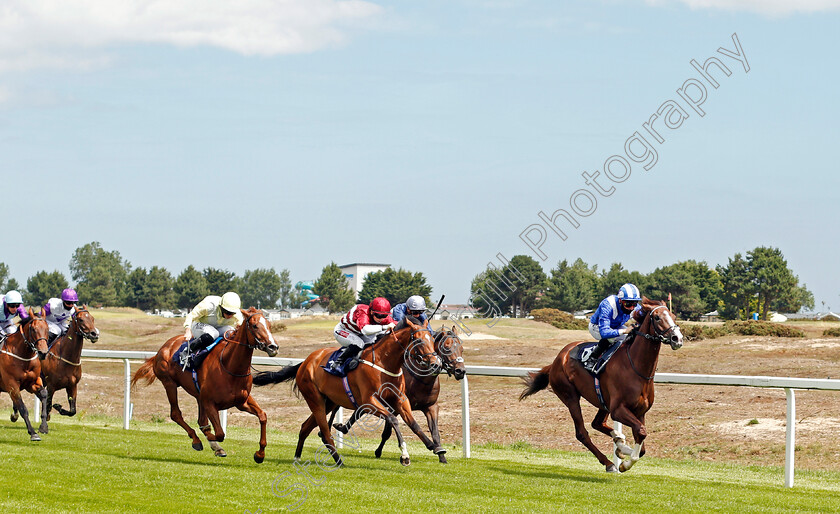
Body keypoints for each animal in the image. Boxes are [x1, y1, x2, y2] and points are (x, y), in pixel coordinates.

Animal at [0, 310, 50, 438]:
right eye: (33, 329)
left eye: (47, 328)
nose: (43, 353)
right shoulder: (12, 385)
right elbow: (23, 408)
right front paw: (33, 433)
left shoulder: (32, 383)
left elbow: (44, 394)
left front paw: (43, 427)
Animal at [131, 306, 280, 462]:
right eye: (255, 325)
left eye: (269, 325)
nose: (273, 347)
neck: (230, 366)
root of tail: (163, 348)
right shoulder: (209, 402)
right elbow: (219, 433)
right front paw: (210, 439)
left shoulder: (242, 401)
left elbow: (262, 416)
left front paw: (260, 454)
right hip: (169, 384)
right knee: (176, 414)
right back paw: (196, 440)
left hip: (198, 395)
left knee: (201, 420)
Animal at [251, 314, 442, 466]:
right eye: (419, 340)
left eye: (433, 340)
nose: (436, 364)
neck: (384, 362)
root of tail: (306, 361)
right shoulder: (368, 402)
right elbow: (393, 420)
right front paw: (404, 456)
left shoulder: (400, 399)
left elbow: (413, 423)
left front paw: (434, 446)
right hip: (315, 400)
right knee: (325, 432)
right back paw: (338, 461)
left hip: (329, 401)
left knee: (305, 427)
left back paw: (297, 457)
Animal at [332, 326, 470, 462]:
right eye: (446, 347)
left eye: (462, 349)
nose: (461, 371)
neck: (420, 379)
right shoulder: (393, 406)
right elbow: (387, 432)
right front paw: (379, 451)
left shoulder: (431, 406)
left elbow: (435, 432)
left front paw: (441, 456)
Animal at [520, 296, 684, 472]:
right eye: (657, 317)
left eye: (674, 316)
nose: (677, 338)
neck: (636, 368)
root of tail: (557, 360)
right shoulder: (618, 410)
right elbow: (641, 432)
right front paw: (625, 463)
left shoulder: (640, 412)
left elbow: (642, 443)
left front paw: (622, 449)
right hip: (570, 396)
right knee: (582, 433)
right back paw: (609, 462)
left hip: (603, 401)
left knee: (597, 423)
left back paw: (619, 442)